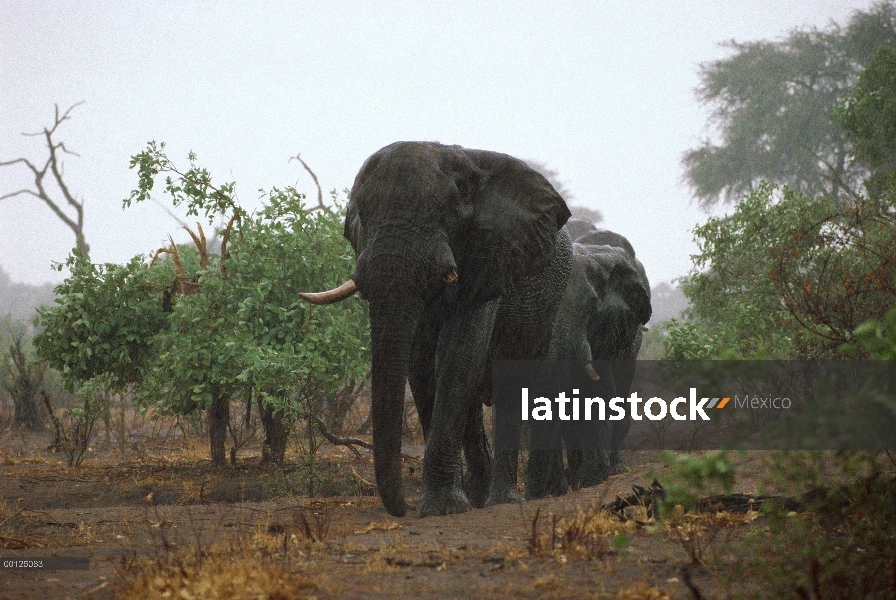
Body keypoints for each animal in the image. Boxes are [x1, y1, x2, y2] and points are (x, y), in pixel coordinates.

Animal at [298, 143, 572, 516]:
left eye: (447, 215)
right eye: (360, 217)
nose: (401, 509)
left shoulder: (489, 258)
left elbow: (458, 355)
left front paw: (442, 508)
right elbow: (422, 363)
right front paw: (447, 504)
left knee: (511, 381)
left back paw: (502, 500)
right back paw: (478, 496)